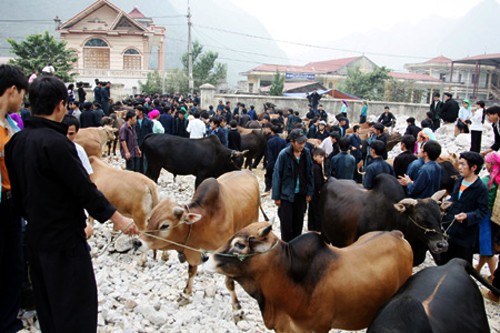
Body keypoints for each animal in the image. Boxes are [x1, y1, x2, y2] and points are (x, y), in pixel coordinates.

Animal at [136, 170, 262, 310]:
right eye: (149, 219)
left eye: (165, 225)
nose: (138, 242)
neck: (206, 222)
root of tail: (247, 171)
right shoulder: (194, 250)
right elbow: (192, 272)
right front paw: (186, 294)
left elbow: (229, 282)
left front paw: (237, 308)